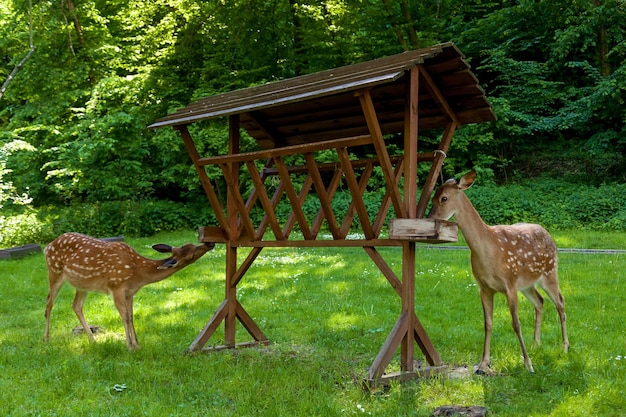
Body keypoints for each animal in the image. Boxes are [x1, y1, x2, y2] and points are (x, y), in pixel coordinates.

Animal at [44, 232, 214, 350]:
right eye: (191, 255)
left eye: (192, 244)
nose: (210, 243)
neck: (137, 273)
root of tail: (47, 247)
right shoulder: (116, 286)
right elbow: (125, 317)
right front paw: (130, 347)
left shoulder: (130, 292)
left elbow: (131, 316)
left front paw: (137, 345)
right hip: (55, 271)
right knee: (49, 303)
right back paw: (46, 339)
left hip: (82, 284)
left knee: (76, 306)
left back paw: (93, 340)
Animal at [428, 171, 564, 372]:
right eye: (433, 197)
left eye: (444, 198)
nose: (429, 219)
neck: (488, 249)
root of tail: (549, 235)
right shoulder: (484, 287)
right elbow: (488, 323)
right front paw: (483, 364)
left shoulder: (510, 283)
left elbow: (516, 324)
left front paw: (528, 364)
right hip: (527, 284)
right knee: (540, 301)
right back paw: (535, 345)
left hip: (550, 272)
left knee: (560, 302)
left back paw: (565, 348)